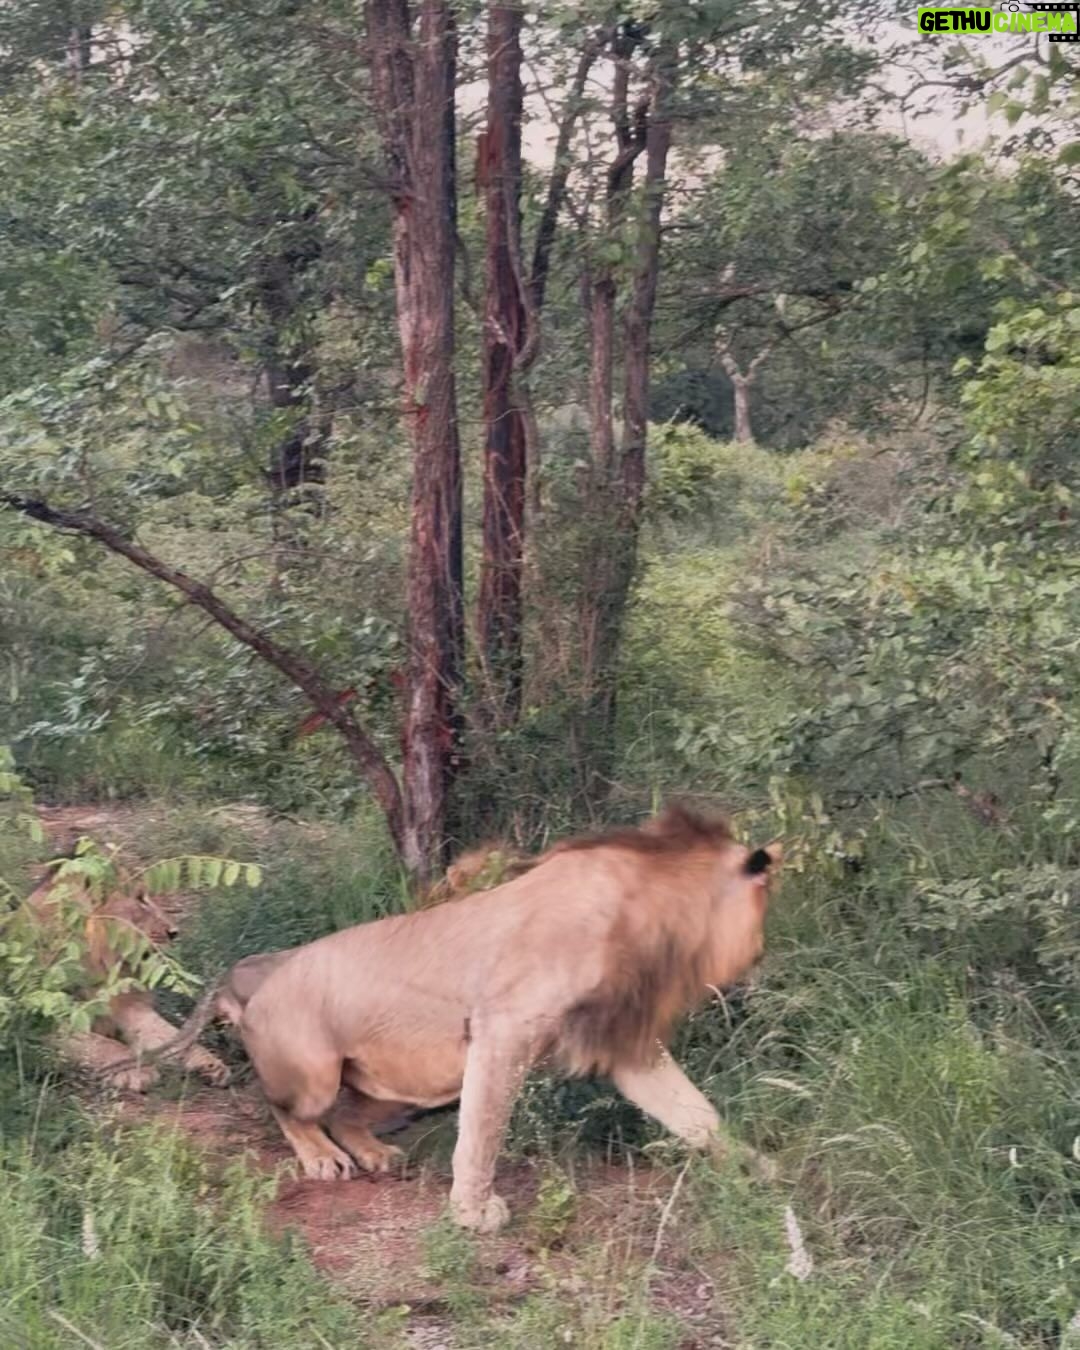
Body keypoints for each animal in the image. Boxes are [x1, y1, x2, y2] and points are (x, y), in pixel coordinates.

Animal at [15, 860, 230, 1091]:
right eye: (140, 899)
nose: (175, 932)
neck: (100, 963)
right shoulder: (40, 1023)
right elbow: (100, 1043)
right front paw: (136, 1071)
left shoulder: (130, 1007)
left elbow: (170, 1035)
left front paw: (208, 1063)